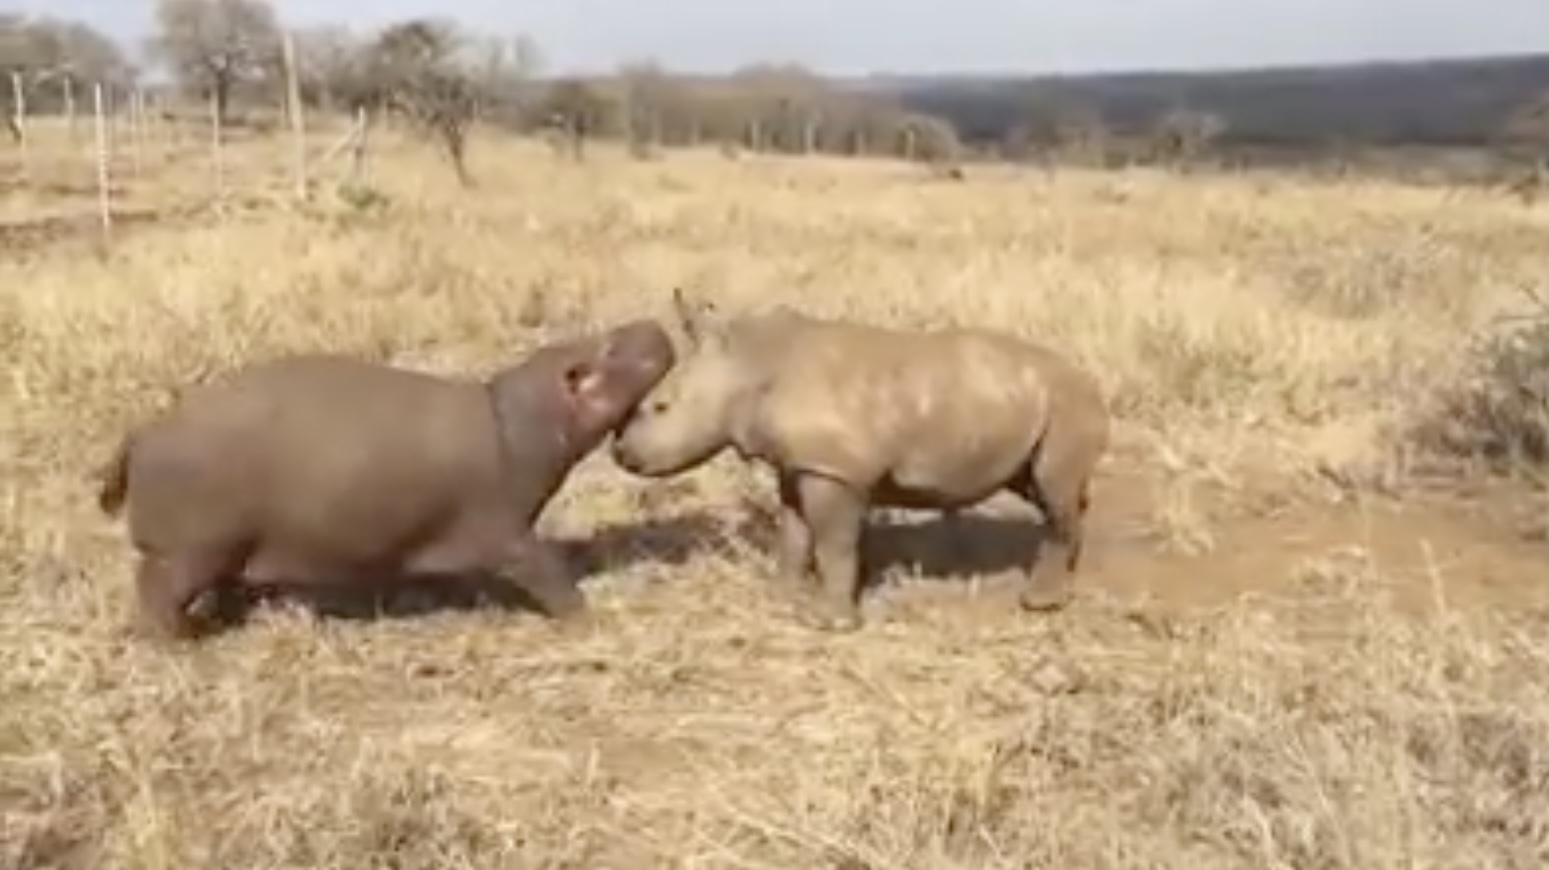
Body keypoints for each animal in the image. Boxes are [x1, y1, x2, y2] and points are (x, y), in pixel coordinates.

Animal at [96, 319, 676, 642]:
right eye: (606, 349)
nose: (652, 322)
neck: (517, 415)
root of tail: (142, 432)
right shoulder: (506, 529)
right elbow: (547, 571)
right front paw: (590, 617)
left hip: (223, 549)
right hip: (191, 551)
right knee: (155, 590)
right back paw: (182, 641)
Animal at [611, 290, 1110, 631]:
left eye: (659, 407)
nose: (621, 454)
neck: (751, 364)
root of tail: (1089, 377)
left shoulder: (835, 471)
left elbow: (834, 543)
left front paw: (832, 623)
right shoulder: (799, 466)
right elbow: (793, 533)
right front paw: (783, 597)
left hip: (1067, 400)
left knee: (1052, 488)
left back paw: (1039, 603)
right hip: (1031, 399)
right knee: (1044, 490)